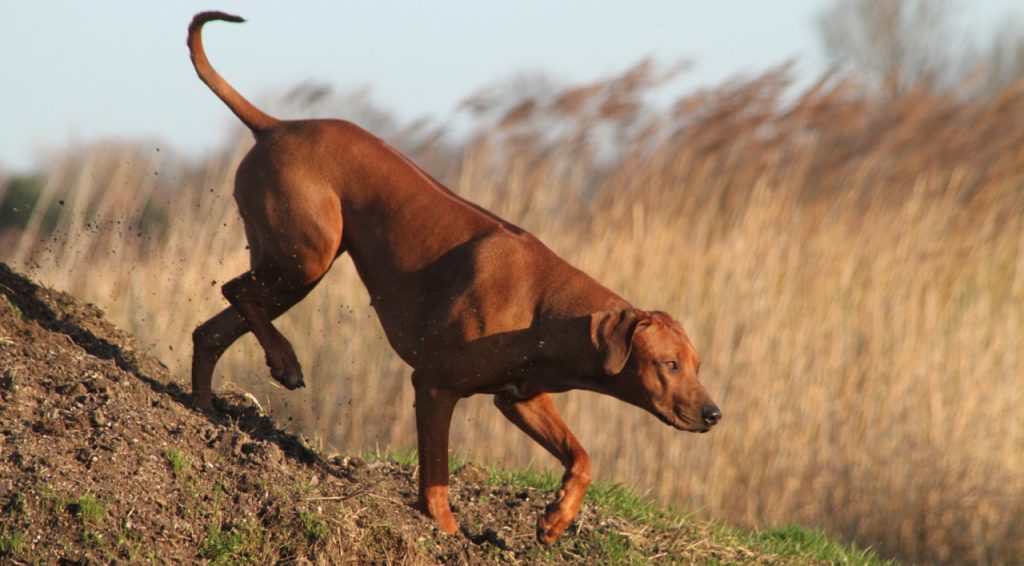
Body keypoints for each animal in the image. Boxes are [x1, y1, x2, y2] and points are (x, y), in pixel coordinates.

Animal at [192, 11, 720, 544]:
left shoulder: (521, 398)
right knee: (235, 290)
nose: (714, 414)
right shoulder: (433, 384)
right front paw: (443, 528)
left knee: (211, 328)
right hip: (305, 258)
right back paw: (282, 360)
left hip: (287, 265)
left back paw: (204, 408)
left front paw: (556, 518)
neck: (545, 308)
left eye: (697, 364)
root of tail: (277, 125)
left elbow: (582, 457)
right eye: (670, 364)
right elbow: (437, 474)